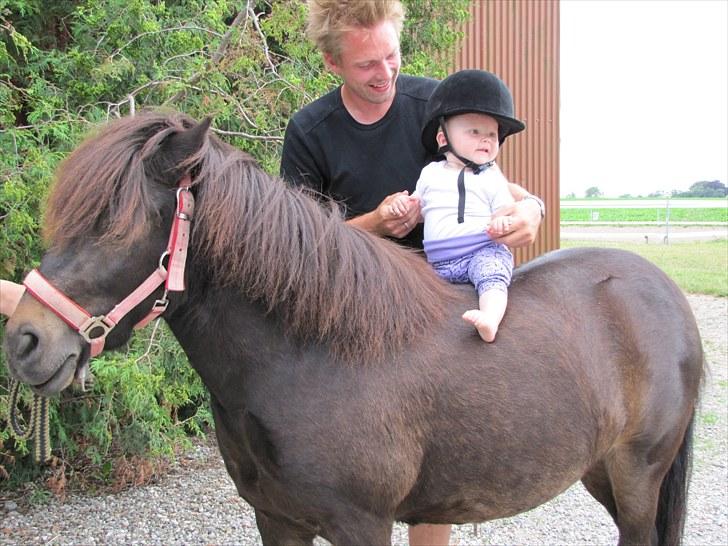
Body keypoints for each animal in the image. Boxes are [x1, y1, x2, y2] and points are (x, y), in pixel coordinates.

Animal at [1, 111, 704, 544]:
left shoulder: (362, 524)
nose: (24, 340)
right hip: (602, 472)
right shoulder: (277, 520)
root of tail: (666, 293)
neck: (310, 356)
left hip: (639, 478)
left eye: (115, 228)